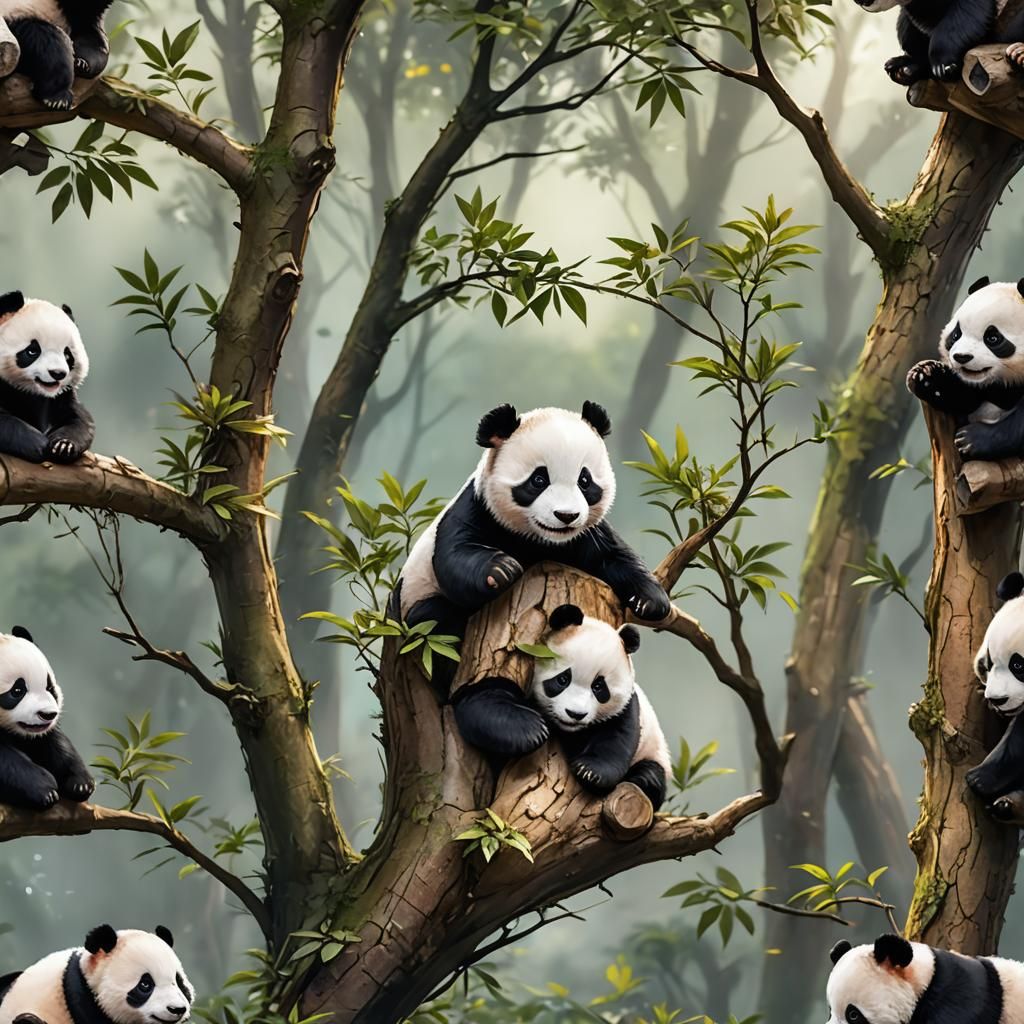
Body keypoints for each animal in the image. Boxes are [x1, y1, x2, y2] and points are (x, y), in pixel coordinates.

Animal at [0, 290, 94, 464]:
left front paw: (64, 446)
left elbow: (79, 419)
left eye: (67, 355)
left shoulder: (61, 397)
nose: (57, 373)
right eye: (32, 351)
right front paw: (37, 444)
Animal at [0, 625, 94, 810]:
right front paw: (44, 789)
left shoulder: (37, 734)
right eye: (17, 691)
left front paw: (80, 783)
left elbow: (55, 744)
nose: (48, 714)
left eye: (50, 688)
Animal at [396, 401, 671, 641]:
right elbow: (455, 557)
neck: (540, 540)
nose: (566, 516)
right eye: (539, 480)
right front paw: (500, 570)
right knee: (433, 617)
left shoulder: (585, 535)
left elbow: (615, 556)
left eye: (584, 480)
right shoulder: (477, 510)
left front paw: (650, 600)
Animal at [454, 605, 672, 809]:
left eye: (599, 686)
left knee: (653, 774)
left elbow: (617, 737)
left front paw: (590, 771)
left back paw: (644, 778)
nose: (576, 714)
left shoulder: (627, 707)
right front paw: (531, 731)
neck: (568, 732)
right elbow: (482, 700)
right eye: (563, 679)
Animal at [907, 277, 1024, 462]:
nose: (962, 357)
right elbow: (964, 398)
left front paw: (970, 441)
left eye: (993, 338)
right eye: (956, 335)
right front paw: (924, 376)